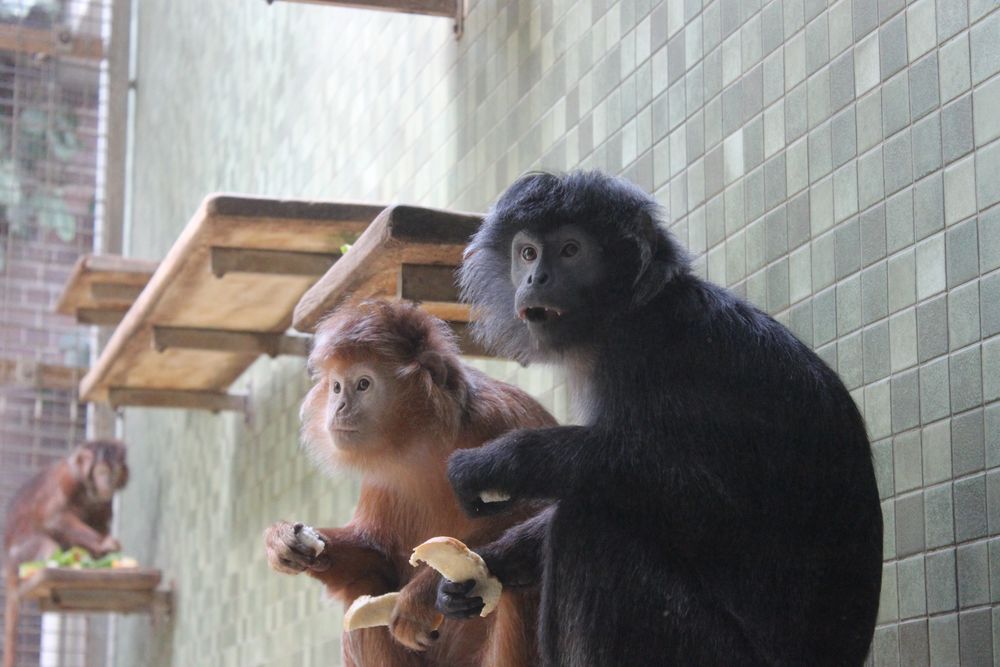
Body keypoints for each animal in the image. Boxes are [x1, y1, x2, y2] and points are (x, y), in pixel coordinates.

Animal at [2, 438, 128, 667]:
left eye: (114, 472)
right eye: (102, 471)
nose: (107, 482)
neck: (88, 490)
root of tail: (7, 557)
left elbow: (100, 521)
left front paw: (102, 554)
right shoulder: (68, 479)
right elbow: (55, 517)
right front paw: (103, 546)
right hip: (21, 553)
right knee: (48, 545)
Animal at [266, 302, 556, 667]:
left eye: (363, 384)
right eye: (337, 387)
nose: (339, 407)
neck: (424, 442)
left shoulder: (502, 418)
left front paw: (423, 597)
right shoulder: (380, 476)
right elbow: (378, 553)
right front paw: (284, 542)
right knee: (366, 581)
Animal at [438, 174, 884, 667]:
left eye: (571, 250)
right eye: (528, 253)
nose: (537, 278)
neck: (635, 310)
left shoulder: (645, 355)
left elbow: (709, 502)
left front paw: (502, 461)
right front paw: (488, 564)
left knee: (590, 526)